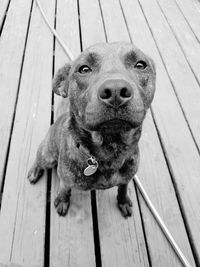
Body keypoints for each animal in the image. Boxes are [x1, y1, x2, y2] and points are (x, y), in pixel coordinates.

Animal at [27, 42, 156, 218]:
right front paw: (62, 201)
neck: (109, 150)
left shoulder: (126, 179)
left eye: (140, 65)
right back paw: (34, 170)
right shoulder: (65, 180)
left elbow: (123, 189)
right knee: (39, 159)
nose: (115, 90)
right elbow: (64, 190)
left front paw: (123, 201)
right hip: (48, 155)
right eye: (84, 69)